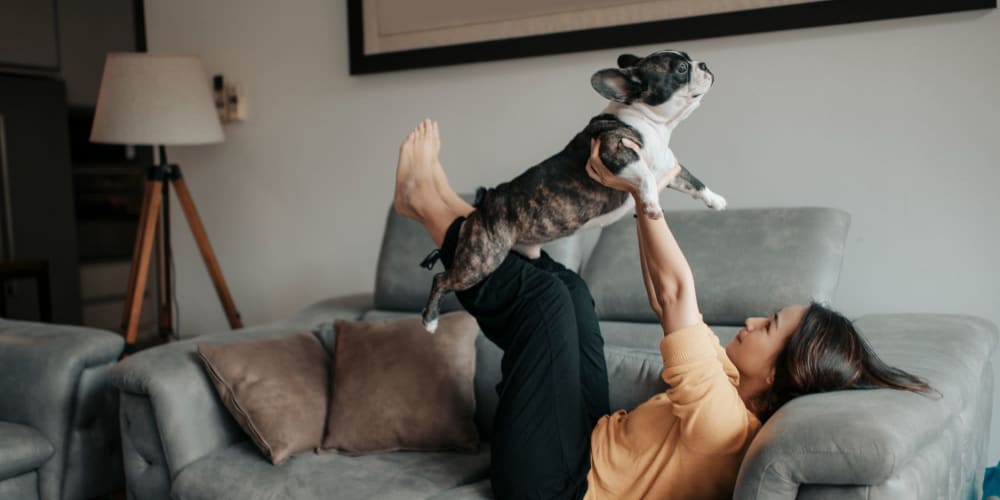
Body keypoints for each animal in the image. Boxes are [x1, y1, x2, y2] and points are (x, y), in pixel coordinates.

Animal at [420, 50, 728, 332]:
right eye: (680, 69)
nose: (704, 64)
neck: (653, 124)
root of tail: (482, 206)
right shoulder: (614, 151)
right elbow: (645, 177)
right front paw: (652, 204)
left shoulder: (668, 167)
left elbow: (693, 181)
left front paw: (716, 200)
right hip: (481, 260)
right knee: (442, 279)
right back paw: (430, 321)